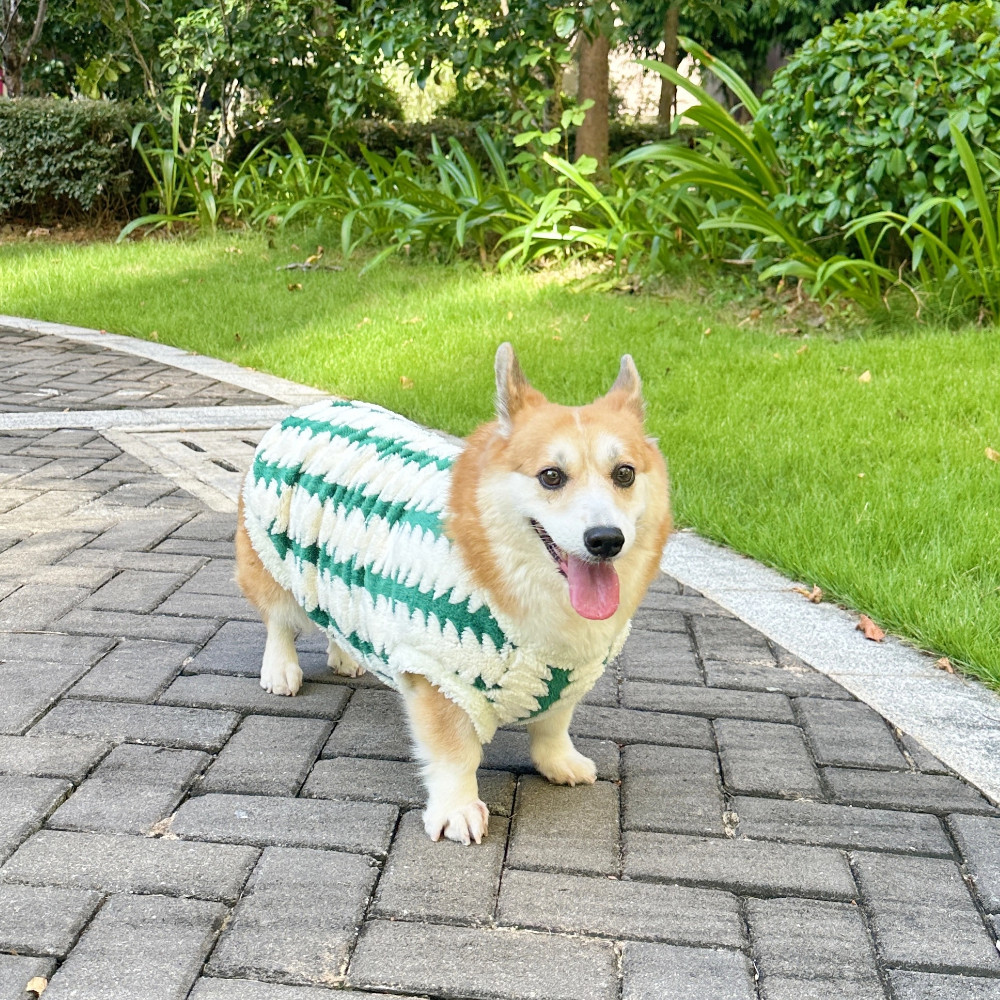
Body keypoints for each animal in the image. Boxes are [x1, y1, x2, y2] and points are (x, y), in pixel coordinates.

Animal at [235, 343, 671, 845]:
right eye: (551, 476)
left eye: (625, 474)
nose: (606, 540)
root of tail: (310, 407)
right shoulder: (438, 675)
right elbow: (455, 754)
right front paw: (457, 809)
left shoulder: (567, 676)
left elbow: (554, 723)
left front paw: (560, 761)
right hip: (271, 557)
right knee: (279, 620)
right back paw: (281, 670)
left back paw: (345, 656)